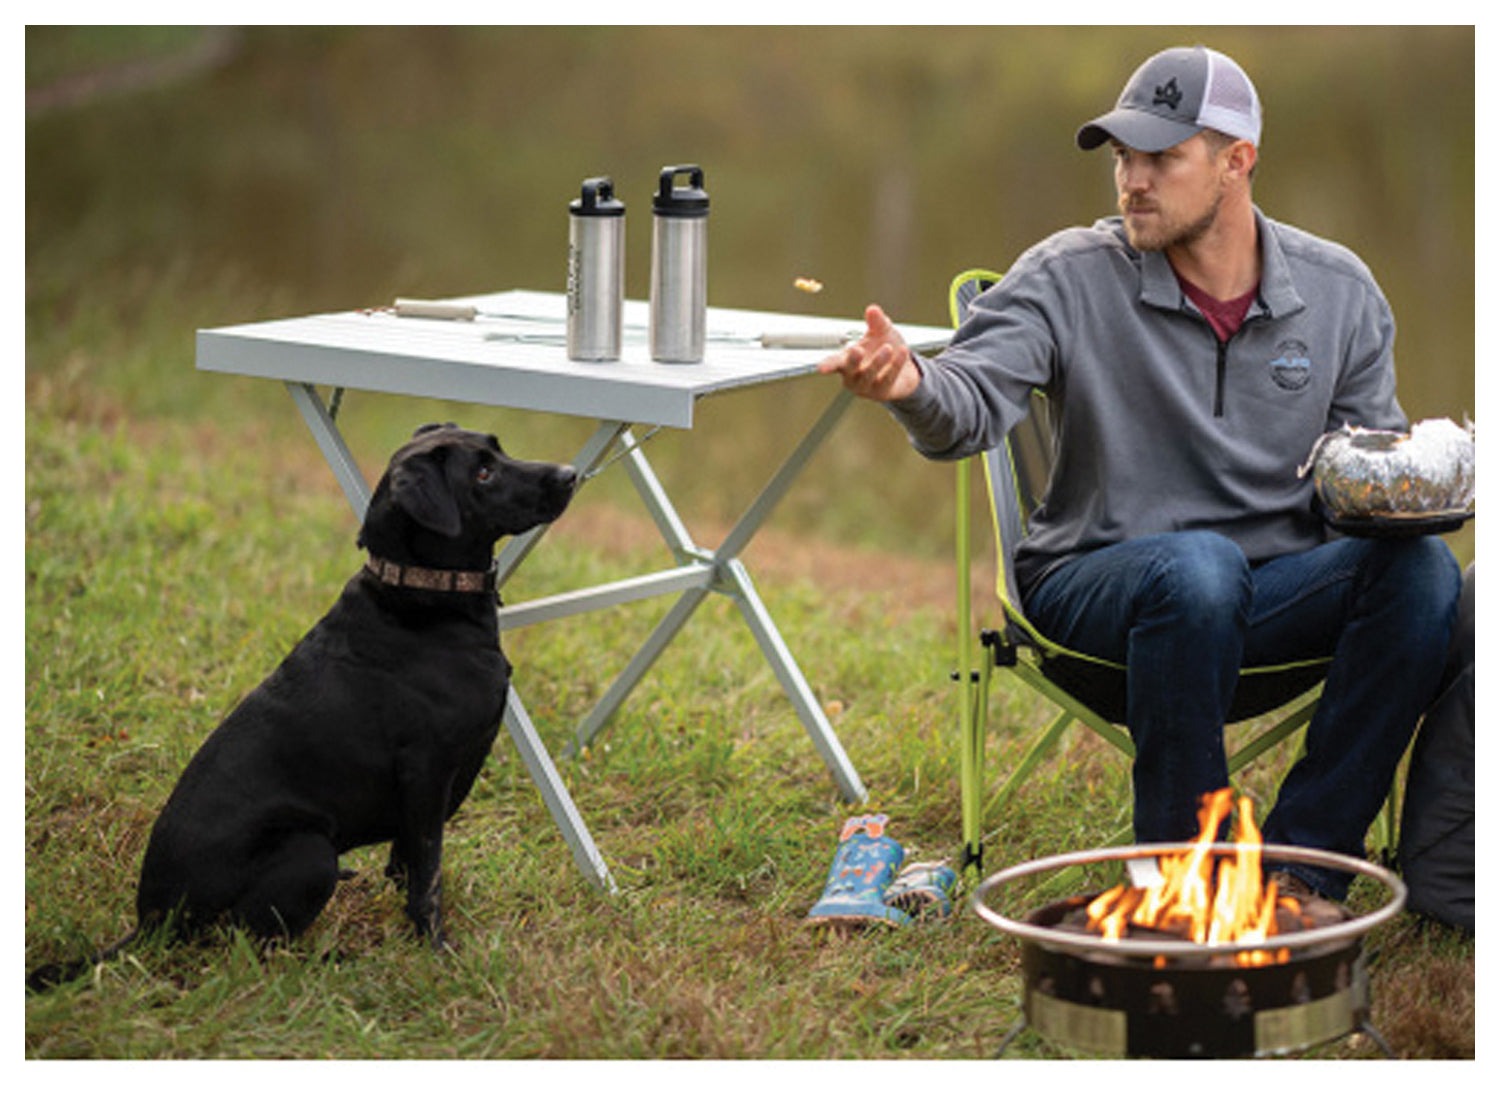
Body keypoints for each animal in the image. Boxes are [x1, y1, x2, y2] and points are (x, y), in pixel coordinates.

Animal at [30, 423, 579, 984]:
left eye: (499, 448)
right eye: (482, 472)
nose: (571, 474)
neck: (420, 596)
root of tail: (152, 920)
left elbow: (407, 863)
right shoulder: (427, 772)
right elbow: (428, 875)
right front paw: (437, 949)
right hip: (308, 851)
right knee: (250, 944)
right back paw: (330, 959)